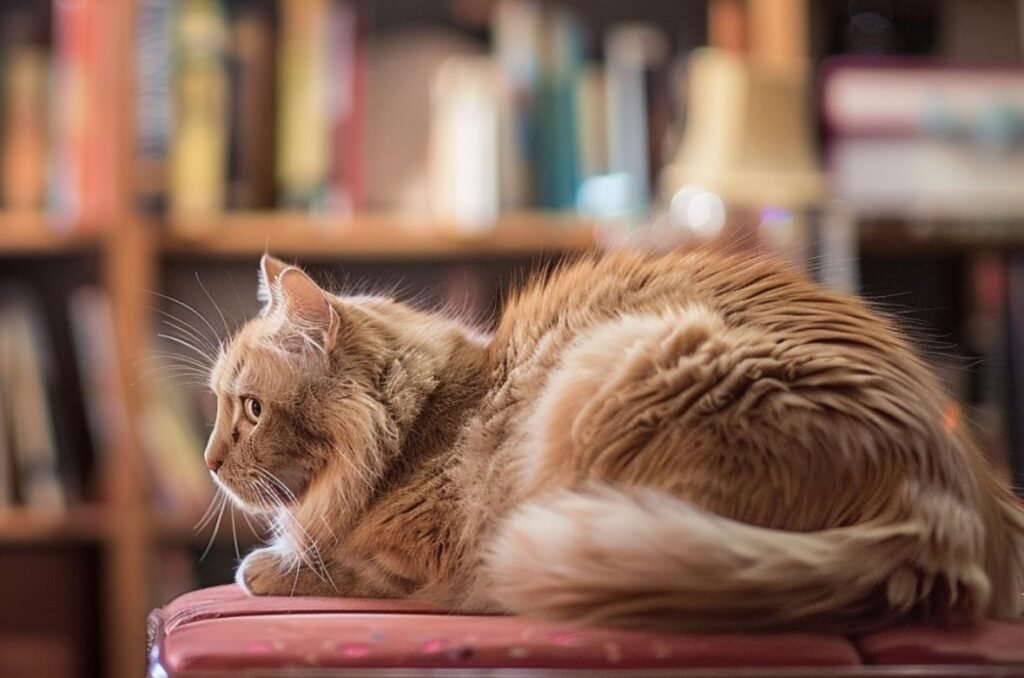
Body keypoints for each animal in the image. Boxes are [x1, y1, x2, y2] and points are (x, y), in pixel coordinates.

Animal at [201, 251, 1024, 634]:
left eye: (250, 410)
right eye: (217, 406)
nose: (208, 462)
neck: (423, 424)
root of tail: (944, 509)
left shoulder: (414, 559)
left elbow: (320, 565)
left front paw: (268, 567)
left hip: (613, 367)